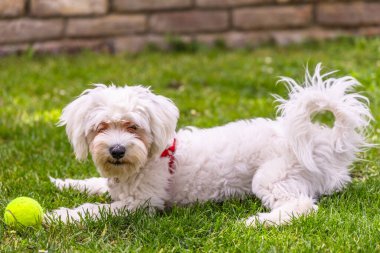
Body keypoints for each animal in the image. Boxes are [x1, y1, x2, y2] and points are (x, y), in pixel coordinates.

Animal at [46, 64, 372, 226]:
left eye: (133, 127)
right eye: (101, 127)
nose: (116, 150)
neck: (147, 159)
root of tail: (325, 142)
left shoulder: (142, 204)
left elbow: (95, 210)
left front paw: (59, 216)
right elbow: (93, 184)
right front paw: (64, 182)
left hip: (273, 176)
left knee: (302, 206)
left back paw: (258, 222)